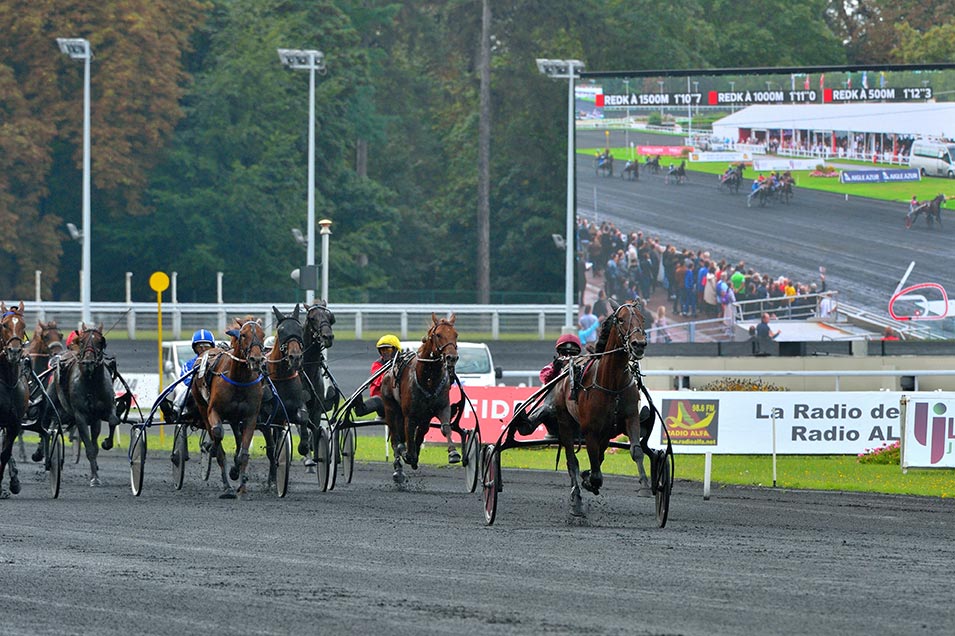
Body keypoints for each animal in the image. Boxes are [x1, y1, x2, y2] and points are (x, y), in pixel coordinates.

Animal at [47, 322, 119, 486]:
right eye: (81, 341)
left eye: (100, 341)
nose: (88, 363)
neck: (91, 383)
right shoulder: (80, 416)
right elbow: (90, 449)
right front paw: (94, 478)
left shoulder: (100, 414)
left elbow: (113, 421)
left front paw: (107, 443)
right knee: (50, 425)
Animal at [191, 316, 266, 500]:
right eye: (244, 335)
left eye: (262, 335)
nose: (256, 360)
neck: (239, 379)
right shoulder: (213, 411)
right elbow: (218, 436)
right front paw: (211, 449)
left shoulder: (250, 417)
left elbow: (243, 453)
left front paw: (241, 483)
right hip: (202, 407)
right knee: (215, 434)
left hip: (234, 418)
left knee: (238, 439)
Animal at [380, 312, 460, 482]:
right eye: (438, 334)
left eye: (456, 334)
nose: (452, 357)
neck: (428, 379)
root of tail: (388, 373)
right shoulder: (409, 415)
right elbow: (408, 435)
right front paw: (408, 454)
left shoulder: (442, 406)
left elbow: (445, 427)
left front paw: (453, 452)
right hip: (390, 408)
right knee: (395, 437)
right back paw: (398, 468)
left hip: (424, 416)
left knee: (420, 431)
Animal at [552, 300, 648, 516]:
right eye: (620, 319)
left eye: (642, 318)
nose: (638, 344)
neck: (612, 383)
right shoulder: (590, 429)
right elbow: (595, 470)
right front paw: (589, 481)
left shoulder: (630, 417)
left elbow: (636, 451)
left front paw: (645, 485)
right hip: (565, 422)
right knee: (572, 460)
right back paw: (577, 501)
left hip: (606, 431)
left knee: (599, 455)